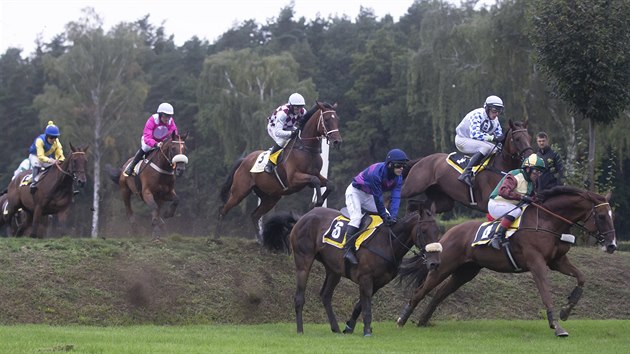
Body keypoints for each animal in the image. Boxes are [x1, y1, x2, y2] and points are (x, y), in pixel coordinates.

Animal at [220, 101, 344, 238]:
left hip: (271, 197)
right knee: (223, 210)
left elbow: (329, 184)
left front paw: (316, 204)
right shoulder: (294, 179)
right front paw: (316, 203)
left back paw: (261, 240)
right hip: (239, 192)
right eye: (326, 120)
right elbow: (314, 180)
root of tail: (244, 160)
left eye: (337, 119)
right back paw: (216, 236)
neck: (306, 149)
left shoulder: (315, 174)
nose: (337, 141)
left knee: (254, 215)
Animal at [262, 203, 444, 336]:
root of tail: (303, 217)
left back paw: (335, 328)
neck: (387, 242)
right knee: (299, 296)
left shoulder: (378, 282)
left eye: (438, 231)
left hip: (333, 270)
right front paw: (367, 330)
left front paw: (349, 326)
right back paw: (300, 330)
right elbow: (366, 305)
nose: (434, 263)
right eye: (424, 231)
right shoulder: (365, 278)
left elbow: (360, 304)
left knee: (325, 295)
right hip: (303, 259)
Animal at [398, 185, 620, 338]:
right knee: (420, 291)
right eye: (601, 216)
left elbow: (581, 277)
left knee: (440, 293)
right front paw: (557, 326)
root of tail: (447, 233)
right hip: (444, 266)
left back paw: (423, 321)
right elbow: (546, 294)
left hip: (466, 271)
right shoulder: (537, 264)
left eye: (612, 215)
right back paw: (402, 319)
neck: (547, 222)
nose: (612, 245)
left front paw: (566, 310)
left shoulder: (557, 261)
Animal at [404, 119, 532, 213]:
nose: (530, 156)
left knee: (421, 206)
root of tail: (423, 159)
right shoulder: (488, 203)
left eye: (529, 137)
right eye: (517, 139)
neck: (500, 167)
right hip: (412, 187)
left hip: (443, 200)